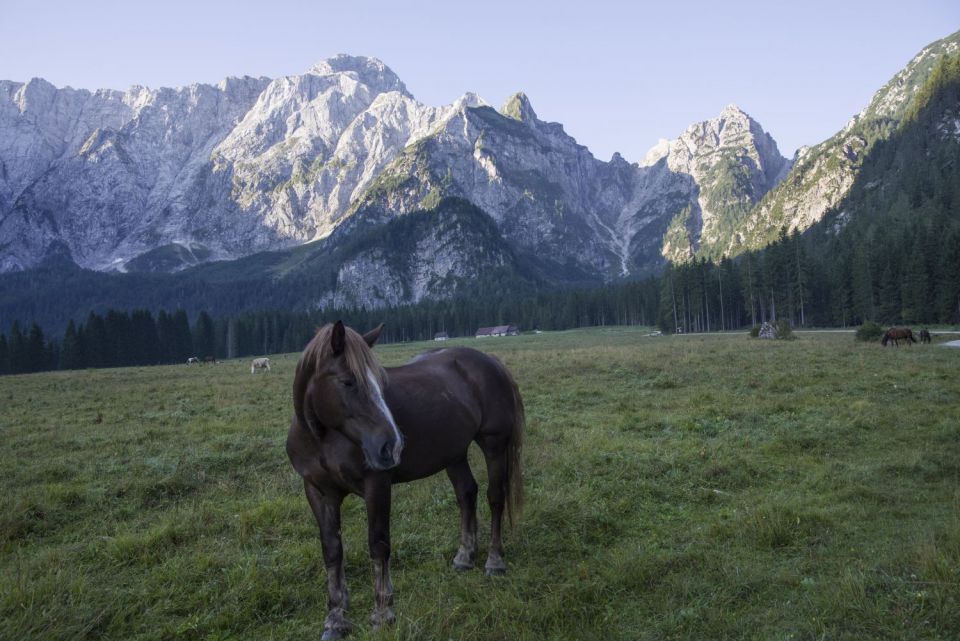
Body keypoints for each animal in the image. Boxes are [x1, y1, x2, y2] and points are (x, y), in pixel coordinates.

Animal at [284, 322, 524, 636]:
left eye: (380, 382)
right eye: (348, 382)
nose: (392, 445)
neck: (322, 438)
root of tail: (492, 362)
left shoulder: (377, 485)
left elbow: (378, 544)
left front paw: (382, 613)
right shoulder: (318, 492)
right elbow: (332, 551)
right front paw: (335, 619)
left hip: (494, 445)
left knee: (495, 498)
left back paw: (494, 561)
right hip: (454, 453)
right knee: (466, 494)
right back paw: (464, 556)